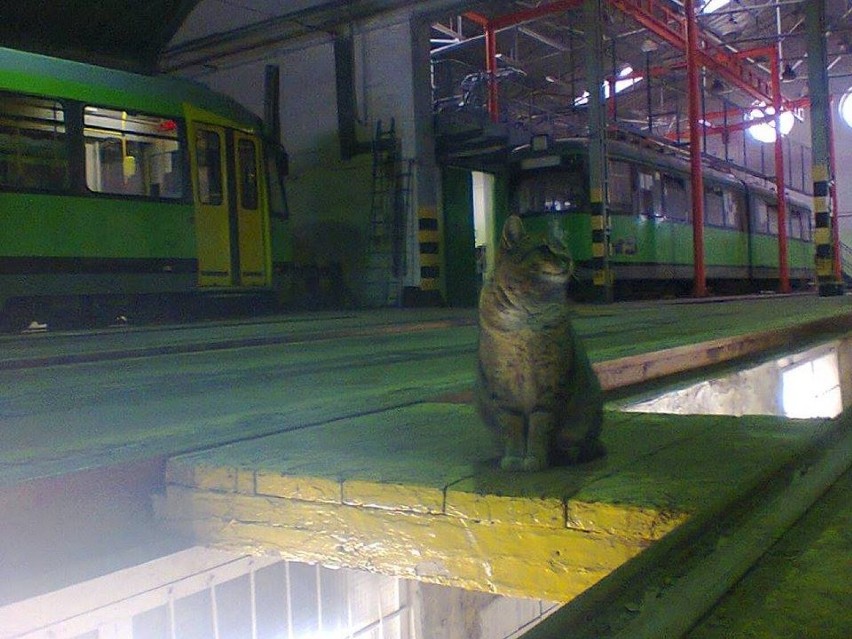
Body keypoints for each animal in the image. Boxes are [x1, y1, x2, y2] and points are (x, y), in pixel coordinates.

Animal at [476, 215, 604, 470]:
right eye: (544, 248)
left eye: (564, 248)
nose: (568, 259)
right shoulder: (503, 386)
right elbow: (511, 425)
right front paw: (514, 457)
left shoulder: (550, 382)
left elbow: (540, 425)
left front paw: (535, 458)